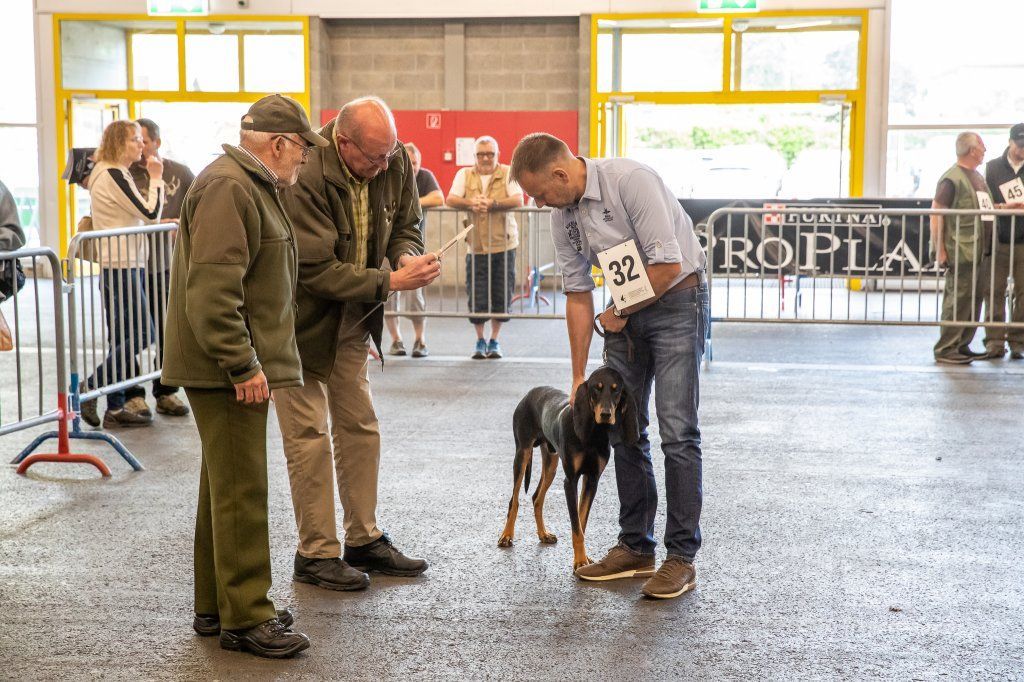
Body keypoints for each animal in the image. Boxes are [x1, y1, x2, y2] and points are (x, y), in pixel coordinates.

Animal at [497, 366, 634, 569]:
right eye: (597, 388)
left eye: (616, 390)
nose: (606, 415)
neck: (593, 434)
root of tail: (530, 392)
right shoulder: (570, 481)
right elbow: (576, 525)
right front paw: (580, 561)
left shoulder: (591, 480)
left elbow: (581, 521)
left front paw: (584, 558)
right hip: (522, 453)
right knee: (514, 500)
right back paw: (506, 536)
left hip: (551, 463)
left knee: (537, 497)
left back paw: (544, 534)